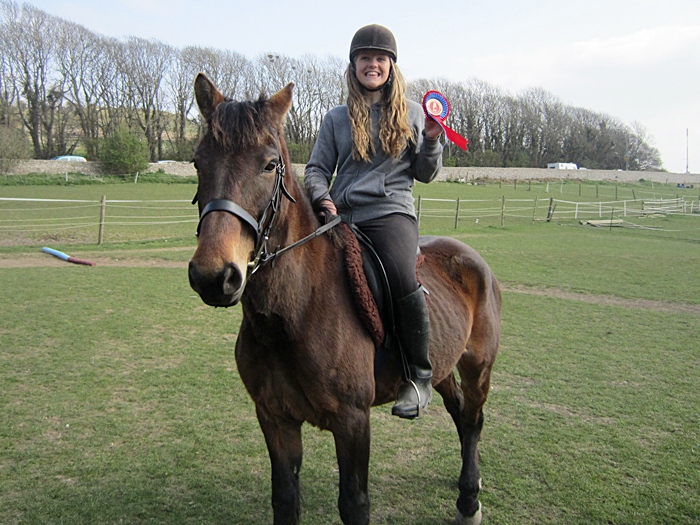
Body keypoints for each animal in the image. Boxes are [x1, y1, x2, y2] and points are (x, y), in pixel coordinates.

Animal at [187, 73, 501, 525]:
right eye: (198, 162)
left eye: (269, 164)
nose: (214, 277)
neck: (294, 313)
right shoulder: (274, 417)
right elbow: (285, 498)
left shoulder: (352, 422)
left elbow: (354, 503)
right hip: (441, 367)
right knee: (460, 413)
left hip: (477, 366)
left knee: (473, 418)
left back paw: (469, 502)